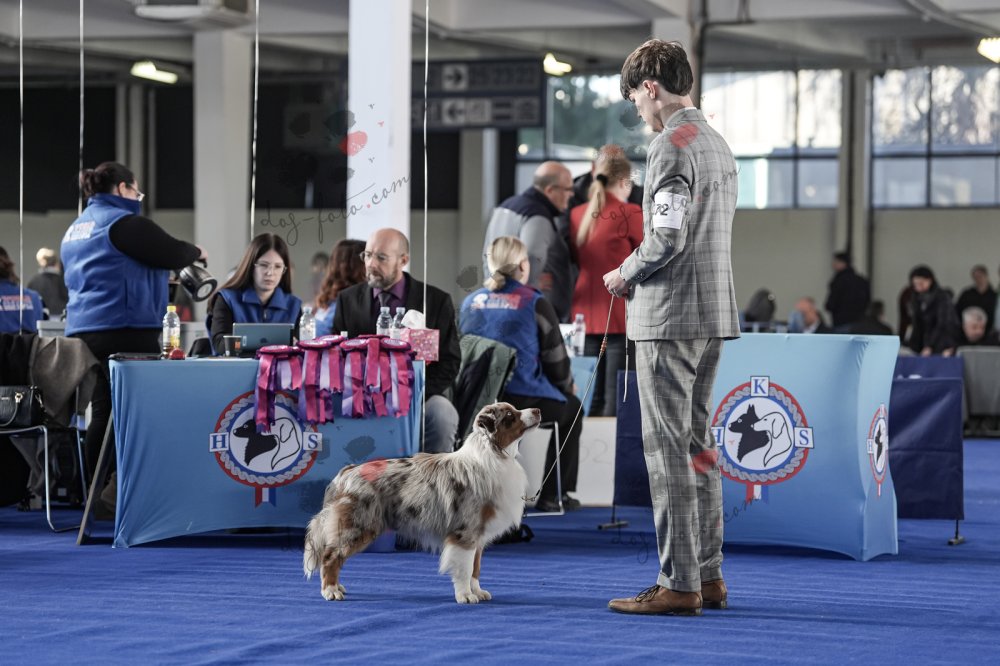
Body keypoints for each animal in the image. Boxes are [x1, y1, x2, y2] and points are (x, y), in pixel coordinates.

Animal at [303, 402, 541, 604]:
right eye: (510, 415)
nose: (537, 410)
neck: (494, 454)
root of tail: (346, 472)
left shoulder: (478, 535)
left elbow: (476, 567)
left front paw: (477, 591)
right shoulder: (465, 532)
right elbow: (464, 568)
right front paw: (465, 595)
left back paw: (337, 587)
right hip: (358, 526)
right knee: (330, 556)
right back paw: (330, 591)